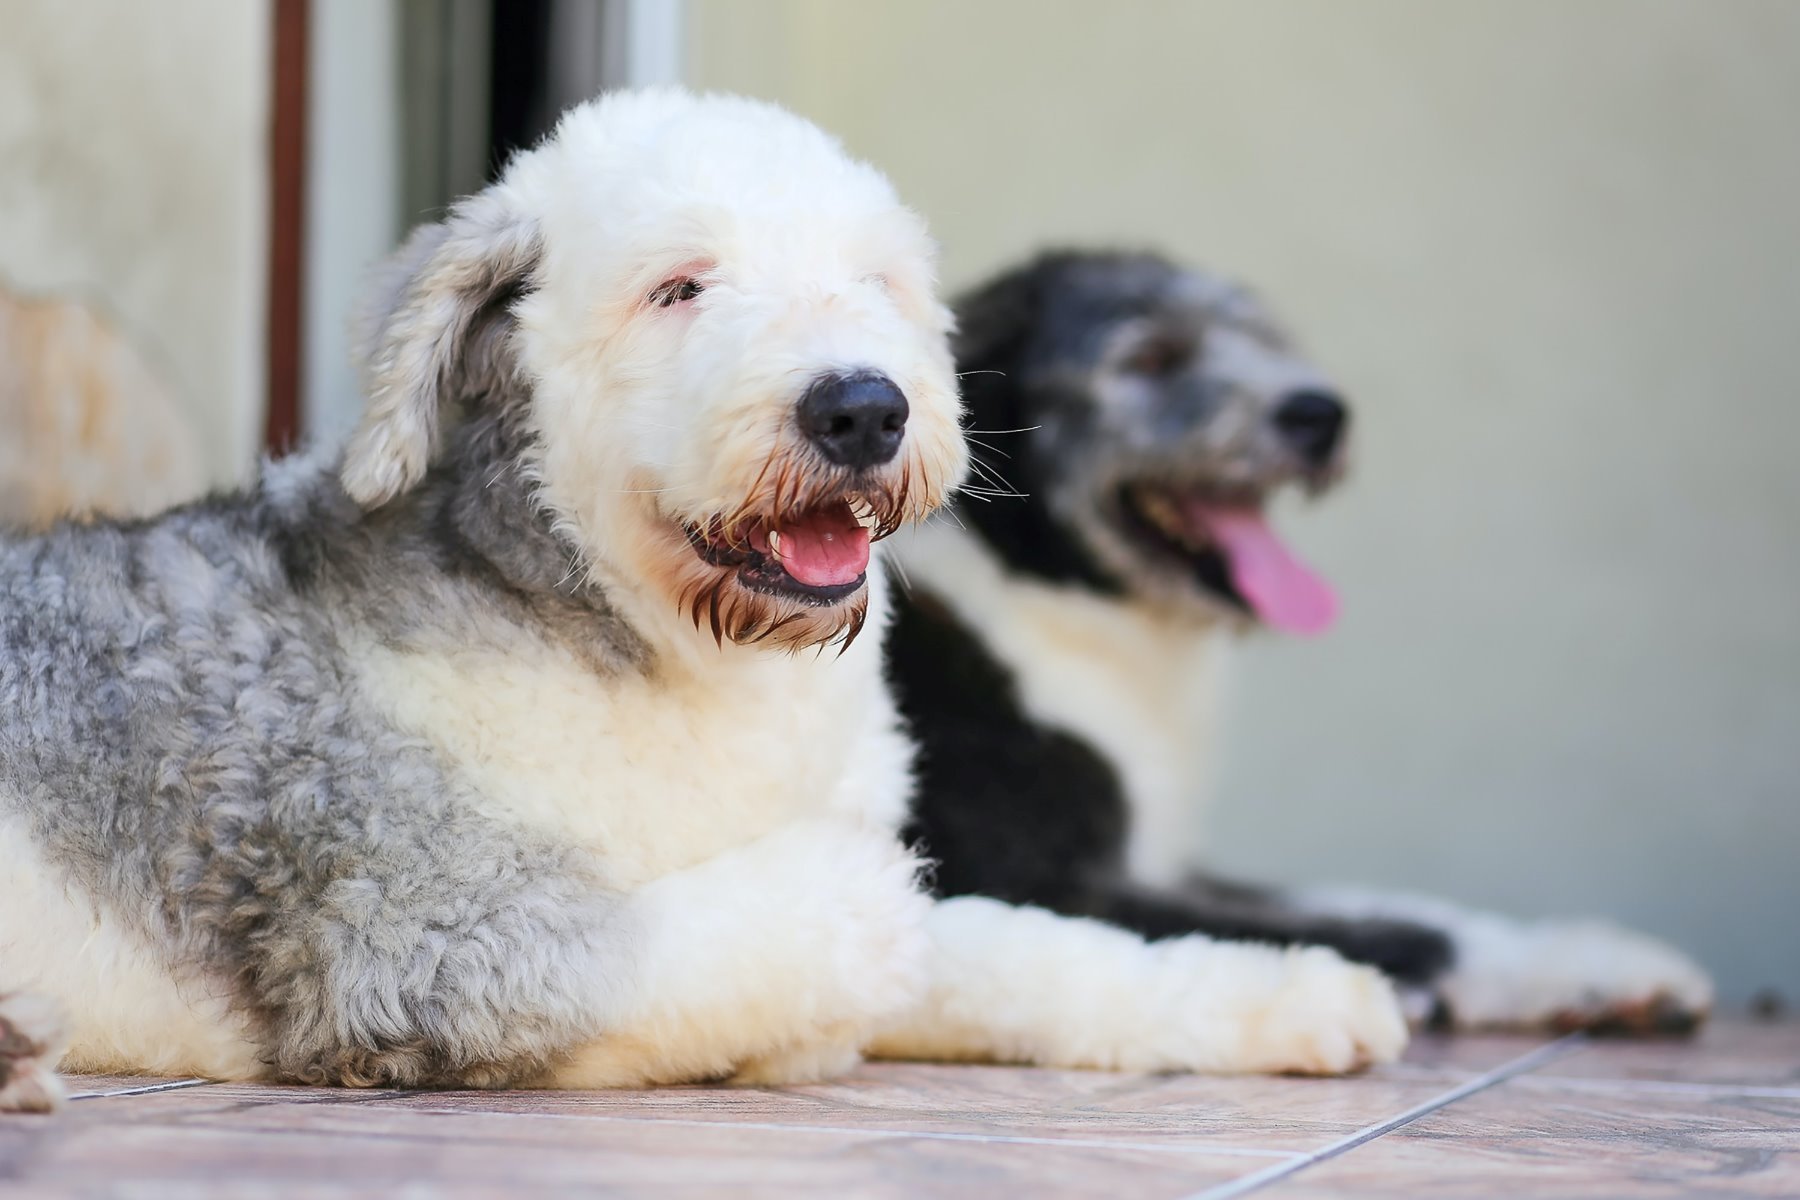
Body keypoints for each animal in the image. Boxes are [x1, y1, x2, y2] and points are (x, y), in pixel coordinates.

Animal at [0, 96, 1404, 1115]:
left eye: (876, 284)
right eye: (680, 287)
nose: (864, 407)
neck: (681, 664)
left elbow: (1032, 952)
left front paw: (1302, 998)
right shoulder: (424, 932)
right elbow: (847, 915)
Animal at [892, 251, 1706, 1036]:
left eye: (1263, 338)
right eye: (1150, 357)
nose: (1320, 413)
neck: (1042, 590)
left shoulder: (1166, 866)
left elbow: (1359, 898)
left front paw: (1591, 961)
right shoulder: (1038, 885)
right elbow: (1389, 932)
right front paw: (1557, 965)